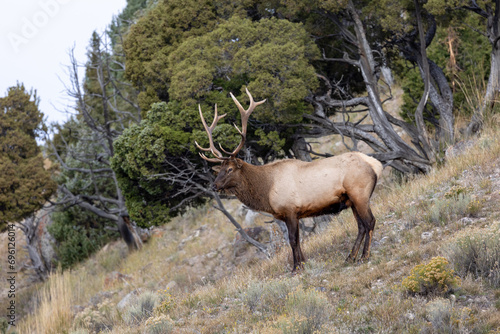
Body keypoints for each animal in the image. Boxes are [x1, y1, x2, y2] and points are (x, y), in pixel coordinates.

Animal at [195, 88, 382, 272]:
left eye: (230, 169)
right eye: (219, 170)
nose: (214, 185)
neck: (266, 191)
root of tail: (375, 164)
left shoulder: (290, 210)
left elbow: (292, 239)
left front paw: (296, 267)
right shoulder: (290, 215)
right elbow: (297, 240)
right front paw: (303, 263)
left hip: (359, 194)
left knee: (369, 222)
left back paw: (363, 256)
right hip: (351, 200)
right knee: (361, 226)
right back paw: (350, 257)